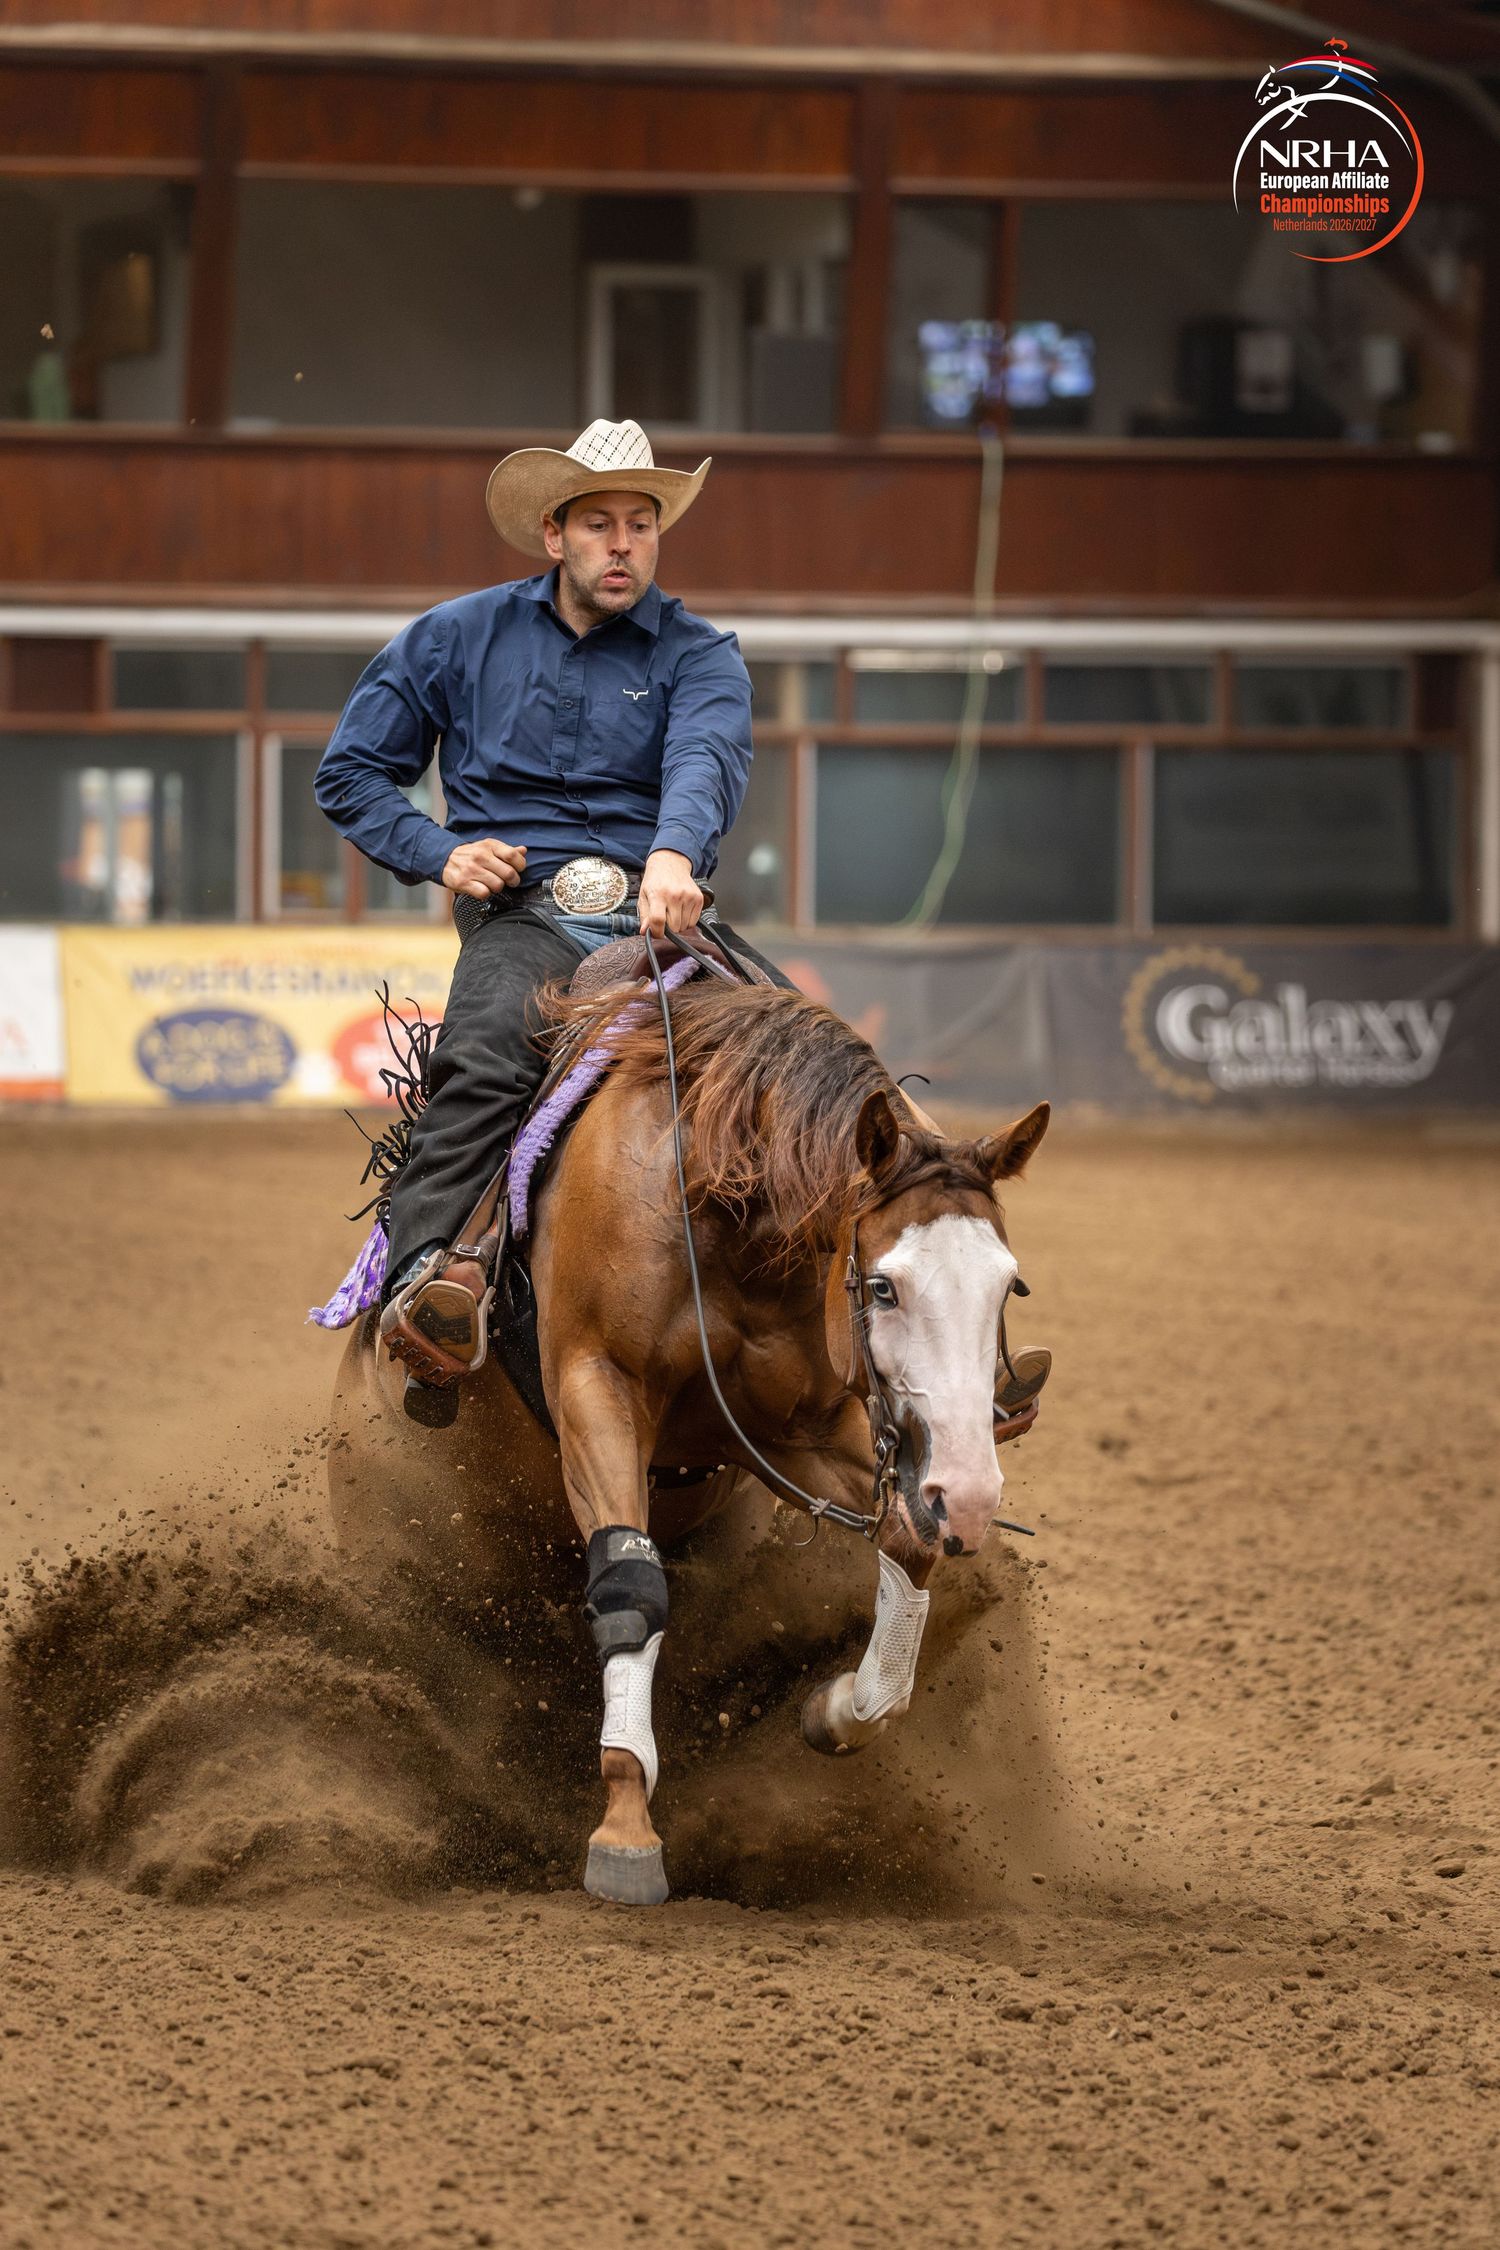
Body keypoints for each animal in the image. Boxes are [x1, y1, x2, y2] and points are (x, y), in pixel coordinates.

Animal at [328, 971, 1049, 1907]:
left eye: (1007, 1286)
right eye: (885, 1286)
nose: (969, 1492)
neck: (722, 1199)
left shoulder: (799, 1434)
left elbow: (906, 1556)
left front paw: (834, 1711)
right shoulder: (597, 1390)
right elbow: (632, 1581)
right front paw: (626, 1832)